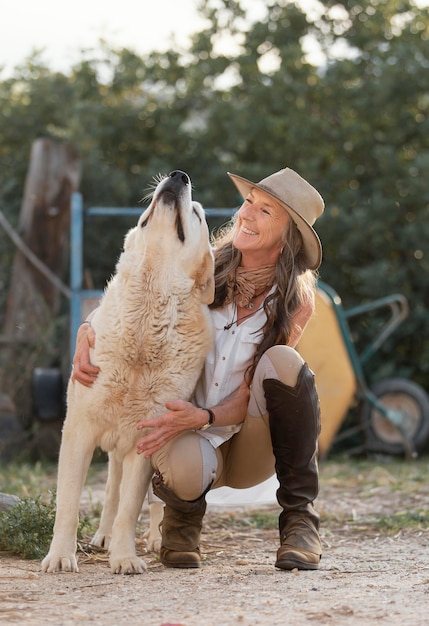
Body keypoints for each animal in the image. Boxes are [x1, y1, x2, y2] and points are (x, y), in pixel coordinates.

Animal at [42, 168, 214, 572]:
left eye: (197, 215)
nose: (178, 175)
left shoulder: (146, 441)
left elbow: (131, 507)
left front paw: (125, 558)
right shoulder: (79, 432)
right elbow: (69, 504)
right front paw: (60, 556)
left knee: (150, 500)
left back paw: (154, 539)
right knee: (110, 490)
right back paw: (102, 536)